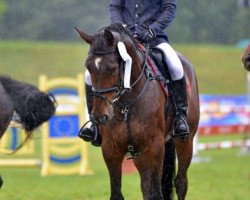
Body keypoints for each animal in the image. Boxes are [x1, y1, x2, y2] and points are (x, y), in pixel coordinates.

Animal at [75, 22, 199, 199]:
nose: (99, 117)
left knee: (181, 182)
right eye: (88, 67)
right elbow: (117, 193)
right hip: (139, 154)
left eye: (113, 68)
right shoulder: (111, 149)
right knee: (146, 187)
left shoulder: (154, 148)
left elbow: (156, 193)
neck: (127, 103)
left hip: (184, 141)